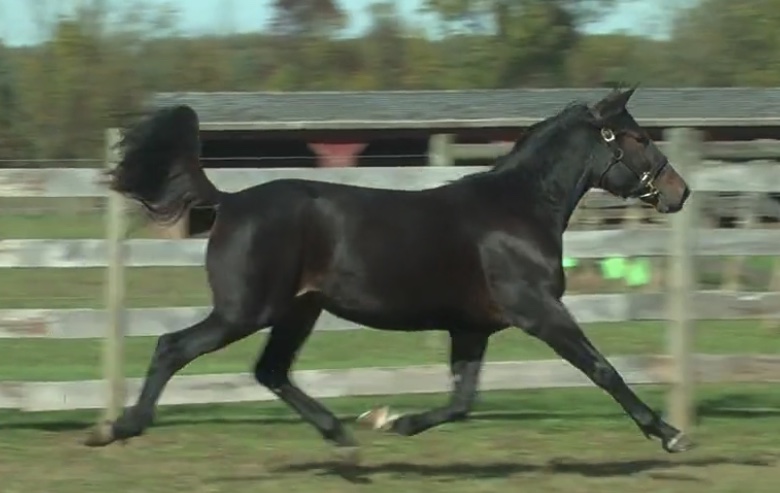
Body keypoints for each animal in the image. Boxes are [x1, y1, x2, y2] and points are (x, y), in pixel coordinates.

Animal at [84, 87, 691, 462]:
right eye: (637, 138)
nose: (679, 192)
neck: (518, 210)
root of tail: (230, 202)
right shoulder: (539, 311)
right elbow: (603, 370)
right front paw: (668, 434)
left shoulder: (472, 328)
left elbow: (462, 401)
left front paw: (392, 421)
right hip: (244, 310)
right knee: (172, 347)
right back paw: (116, 427)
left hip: (298, 310)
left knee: (271, 371)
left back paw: (344, 440)